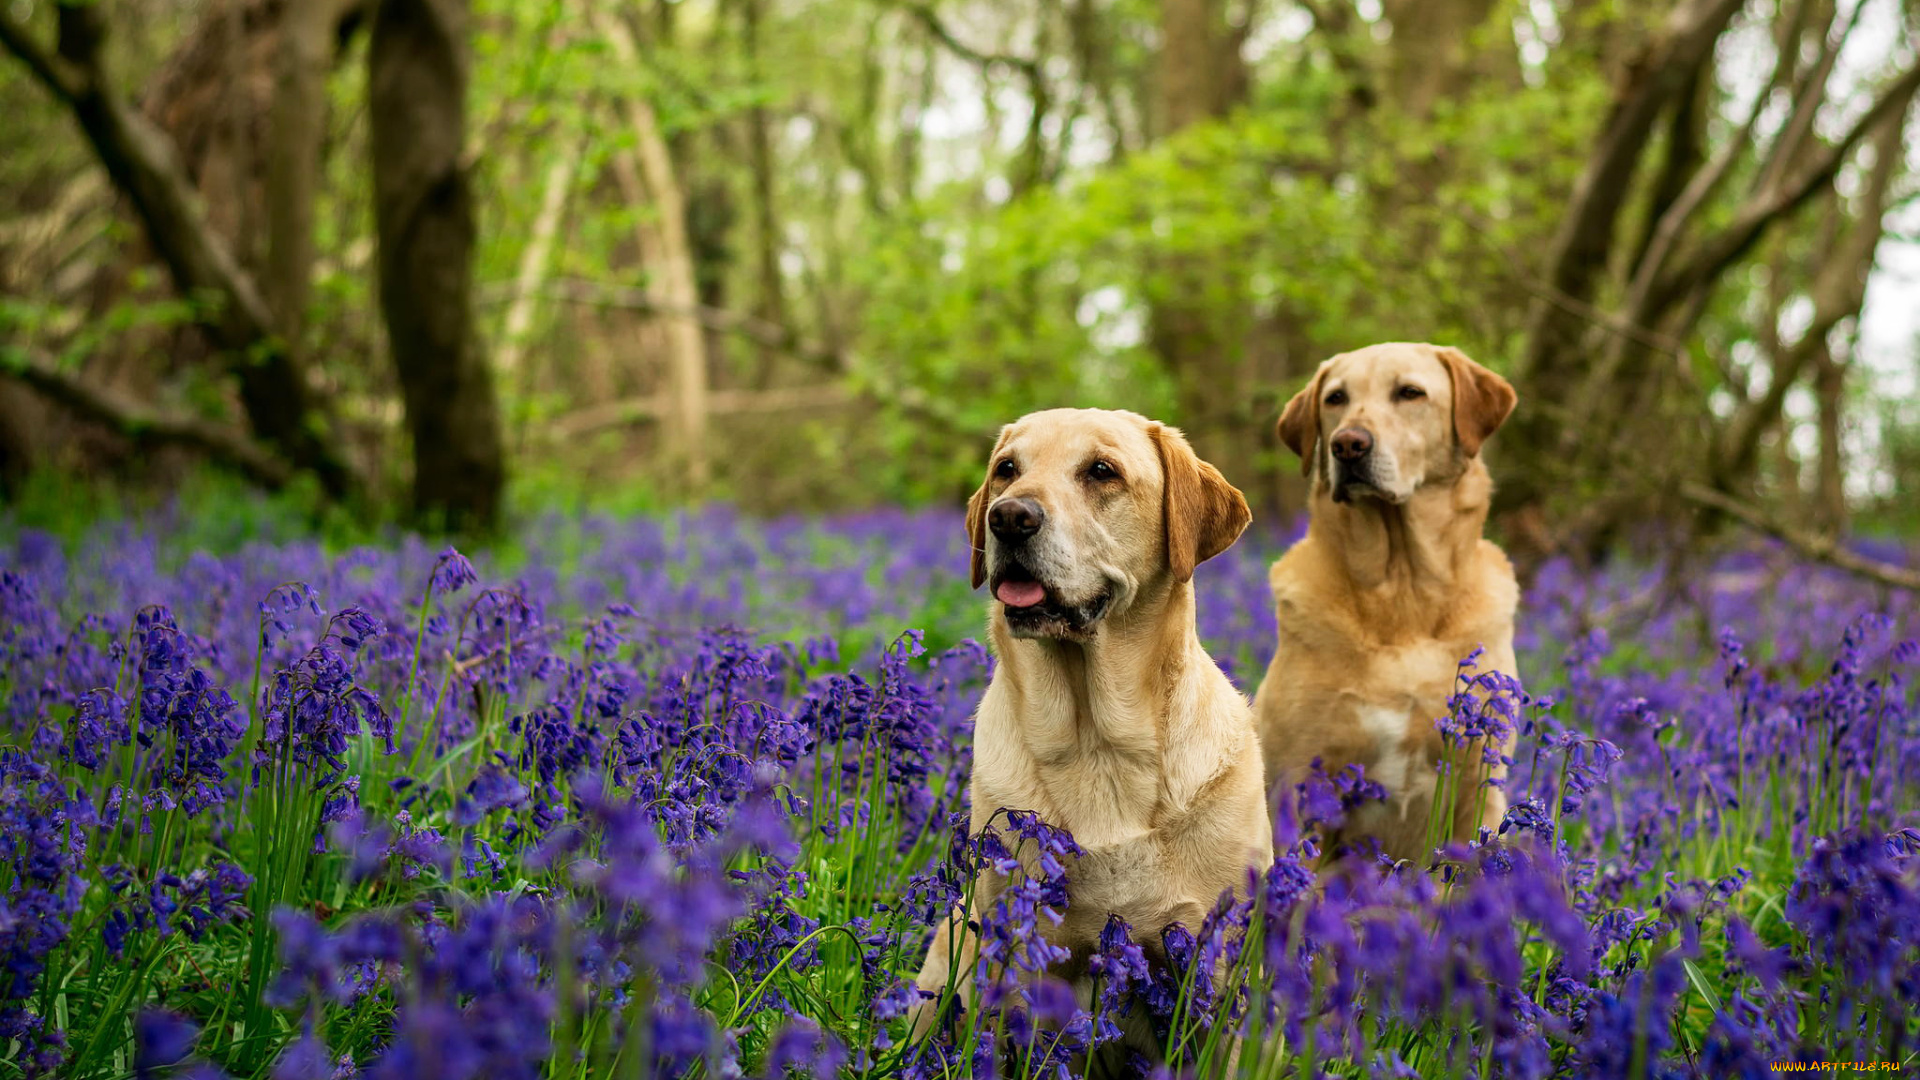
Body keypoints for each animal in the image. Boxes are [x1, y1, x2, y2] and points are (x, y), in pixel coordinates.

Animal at [913, 407, 1274, 1045]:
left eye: (1102, 471)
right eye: (1007, 469)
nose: (1008, 516)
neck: (1097, 742)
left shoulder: (1215, 962)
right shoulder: (1023, 952)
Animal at [1251, 343, 1520, 864]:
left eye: (1410, 392)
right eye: (1335, 398)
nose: (1348, 445)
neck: (1401, 592)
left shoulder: (1477, 781)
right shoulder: (1301, 776)